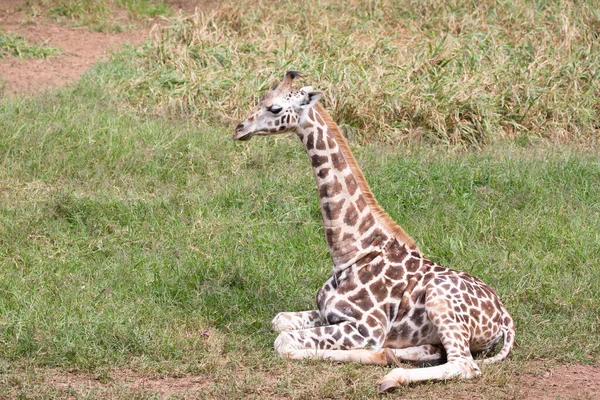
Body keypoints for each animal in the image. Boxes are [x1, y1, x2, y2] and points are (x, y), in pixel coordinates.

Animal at [234, 72, 516, 390]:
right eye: (262, 99)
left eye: (275, 108)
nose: (239, 129)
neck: (350, 251)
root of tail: (504, 316)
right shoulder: (329, 314)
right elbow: (279, 320)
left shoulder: (366, 328)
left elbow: (283, 341)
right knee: (432, 351)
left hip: (439, 300)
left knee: (463, 364)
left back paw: (392, 375)